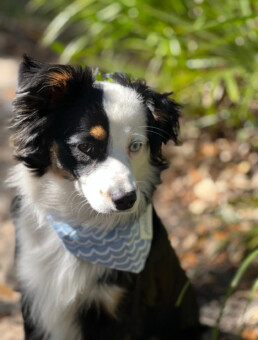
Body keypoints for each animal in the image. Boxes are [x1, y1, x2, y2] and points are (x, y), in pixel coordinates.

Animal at [9, 55, 200, 340]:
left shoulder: (119, 307)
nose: (126, 200)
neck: (79, 224)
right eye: (86, 146)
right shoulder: (34, 300)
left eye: (136, 146)